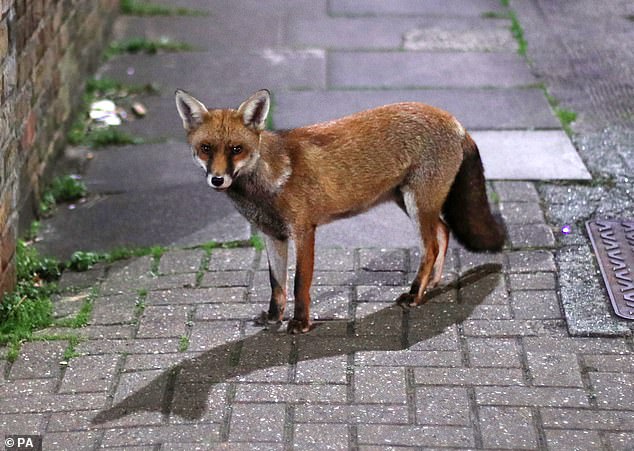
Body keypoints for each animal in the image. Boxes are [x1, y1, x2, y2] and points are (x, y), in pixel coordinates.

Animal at [175, 90, 506, 334]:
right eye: (206, 148)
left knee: (431, 246)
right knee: (443, 231)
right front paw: (273, 319)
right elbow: (277, 285)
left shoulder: (304, 231)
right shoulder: (273, 235)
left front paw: (301, 323)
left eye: (236, 149)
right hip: (410, 203)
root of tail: (454, 120)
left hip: (416, 204)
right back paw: (432, 285)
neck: (268, 183)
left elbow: (299, 283)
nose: (217, 179)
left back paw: (415, 294)